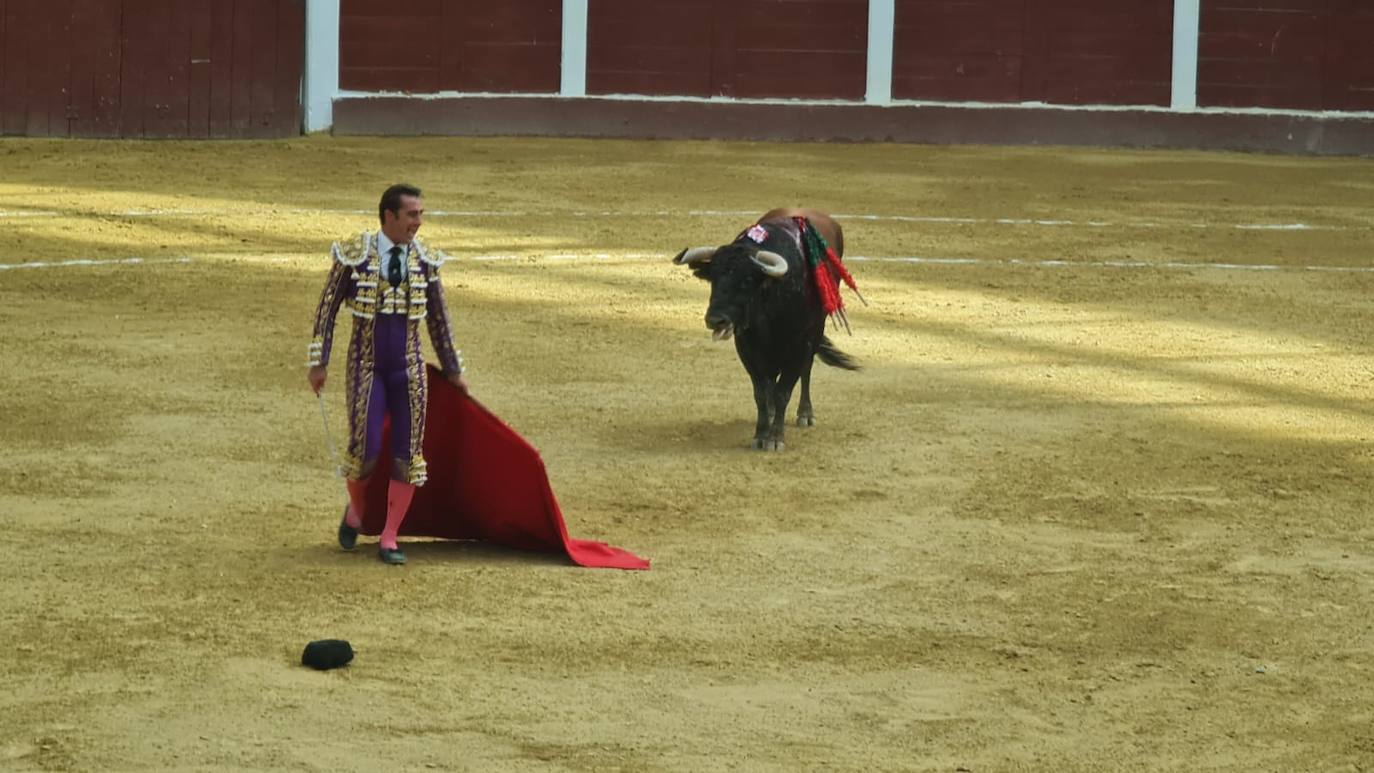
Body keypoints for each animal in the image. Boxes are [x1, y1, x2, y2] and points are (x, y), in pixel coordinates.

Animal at [673, 207, 857, 453]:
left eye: (747, 280)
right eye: (713, 278)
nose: (715, 320)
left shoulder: (798, 347)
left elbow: (783, 391)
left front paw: (775, 438)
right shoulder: (747, 349)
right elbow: (761, 392)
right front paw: (761, 434)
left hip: (817, 330)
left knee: (806, 371)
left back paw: (805, 413)